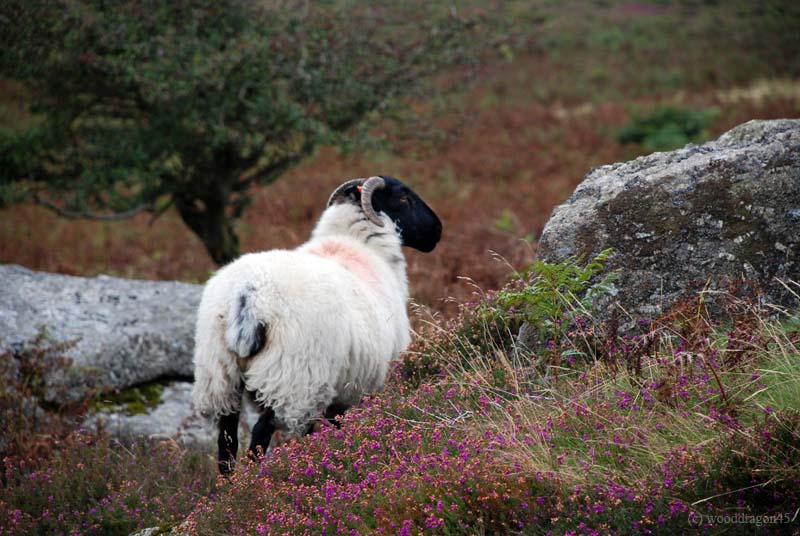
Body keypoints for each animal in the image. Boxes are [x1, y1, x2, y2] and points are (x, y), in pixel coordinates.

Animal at [194, 176, 444, 474]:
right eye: (404, 199)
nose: (437, 230)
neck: (360, 248)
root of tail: (249, 295)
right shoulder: (351, 387)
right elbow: (334, 427)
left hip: (220, 374)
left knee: (227, 442)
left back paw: (229, 485)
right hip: (292, 378)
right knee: (261, 433)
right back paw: (255, 481)